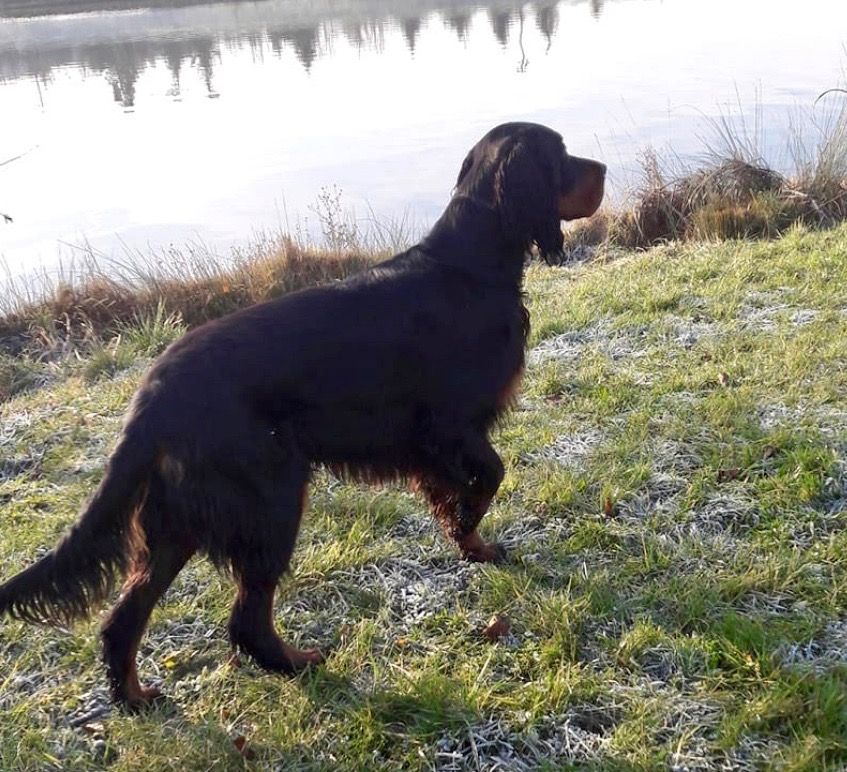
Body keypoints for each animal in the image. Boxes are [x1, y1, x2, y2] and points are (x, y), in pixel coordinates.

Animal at [1, 123, 608, 708]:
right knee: (246, 619)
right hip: (270, 498)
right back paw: (296, 664)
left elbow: (458, 490)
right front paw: (468, 533)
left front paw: (471, 546)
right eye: (560, 154)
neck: (469, 266)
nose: (602, 167)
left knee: (124, 618)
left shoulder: (438, 441)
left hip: (180, 519)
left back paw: (133, 697)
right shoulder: (450, 425)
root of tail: (152, 394)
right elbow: (488, 479)